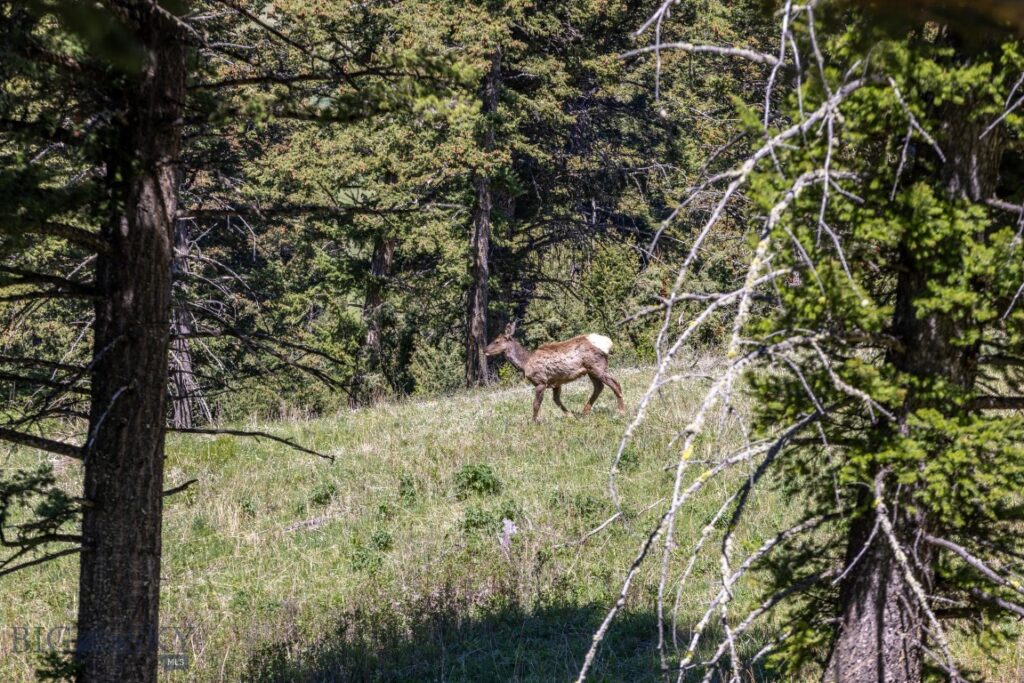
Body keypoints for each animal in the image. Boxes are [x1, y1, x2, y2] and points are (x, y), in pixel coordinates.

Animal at [484, 321, 625, 422]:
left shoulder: (541, 381)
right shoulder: (556, 382)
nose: (485, 350)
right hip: (591, 370)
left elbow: (536, 404)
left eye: (497, 341)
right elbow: (556, 401)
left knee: (615, 383)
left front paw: (533, 422)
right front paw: (570, 416)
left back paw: (621, 411)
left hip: (597, 366)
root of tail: (608, 343)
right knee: (599, 387)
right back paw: (584, 412)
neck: (525, 363)